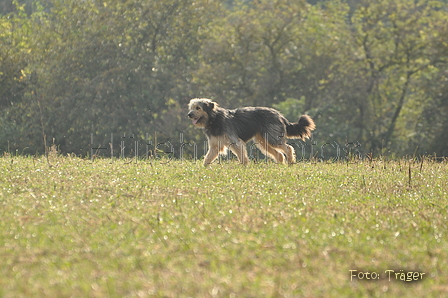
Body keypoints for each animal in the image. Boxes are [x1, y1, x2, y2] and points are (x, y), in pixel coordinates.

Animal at [187, 98, 316, 165]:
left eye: (198, 108)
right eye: (191, 108)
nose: (189, 114)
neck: (214, 119)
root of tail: (279, 115)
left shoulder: (235, 142)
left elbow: (241, 155)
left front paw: (244, 166)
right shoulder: (215, 145)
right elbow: (207, 158)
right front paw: (203, 169)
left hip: (273, 138)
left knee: (288, 148)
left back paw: (290, 162)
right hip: (263, 141)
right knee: (279, 154)